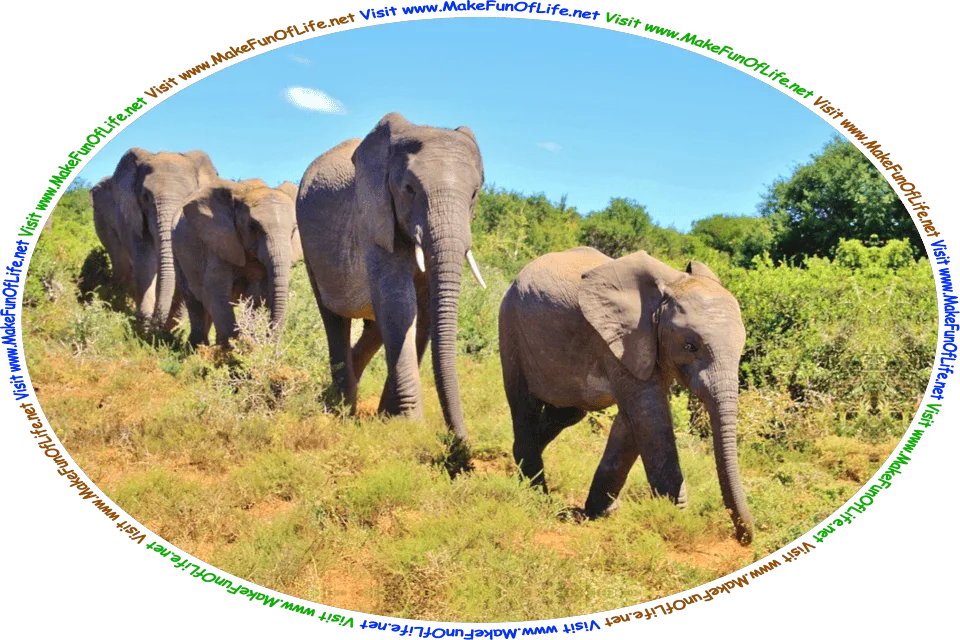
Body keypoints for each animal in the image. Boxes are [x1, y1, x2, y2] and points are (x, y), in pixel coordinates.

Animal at [173, 178, 300, 347]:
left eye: (293, 231)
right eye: (253, 227)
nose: (269, 342)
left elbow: (257, 295)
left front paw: (249, 344)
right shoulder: (219, 241)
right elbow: (216, 290)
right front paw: (233, 349)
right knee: (194, 298)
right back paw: (197, 347)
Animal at [296, 112, 486, 447]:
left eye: (475, 193)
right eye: (409, 188)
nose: (460, 442)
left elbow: (423, 313)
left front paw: (389, 418)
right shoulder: (374, 216)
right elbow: (399, 304)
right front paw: (409, 425)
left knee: (374, 327)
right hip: (309, 243)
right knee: (334, 318)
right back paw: (341, 408)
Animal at [498, 247, 754, 545]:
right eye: (690, 346)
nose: (743, 538)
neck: (669, 286)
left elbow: (633, 422)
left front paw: (603, 512)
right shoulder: (619, 339)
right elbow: (649, 417)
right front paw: (673, 519)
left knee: (567, 413)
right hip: (511, 326)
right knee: (524, 404)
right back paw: (537, 494)